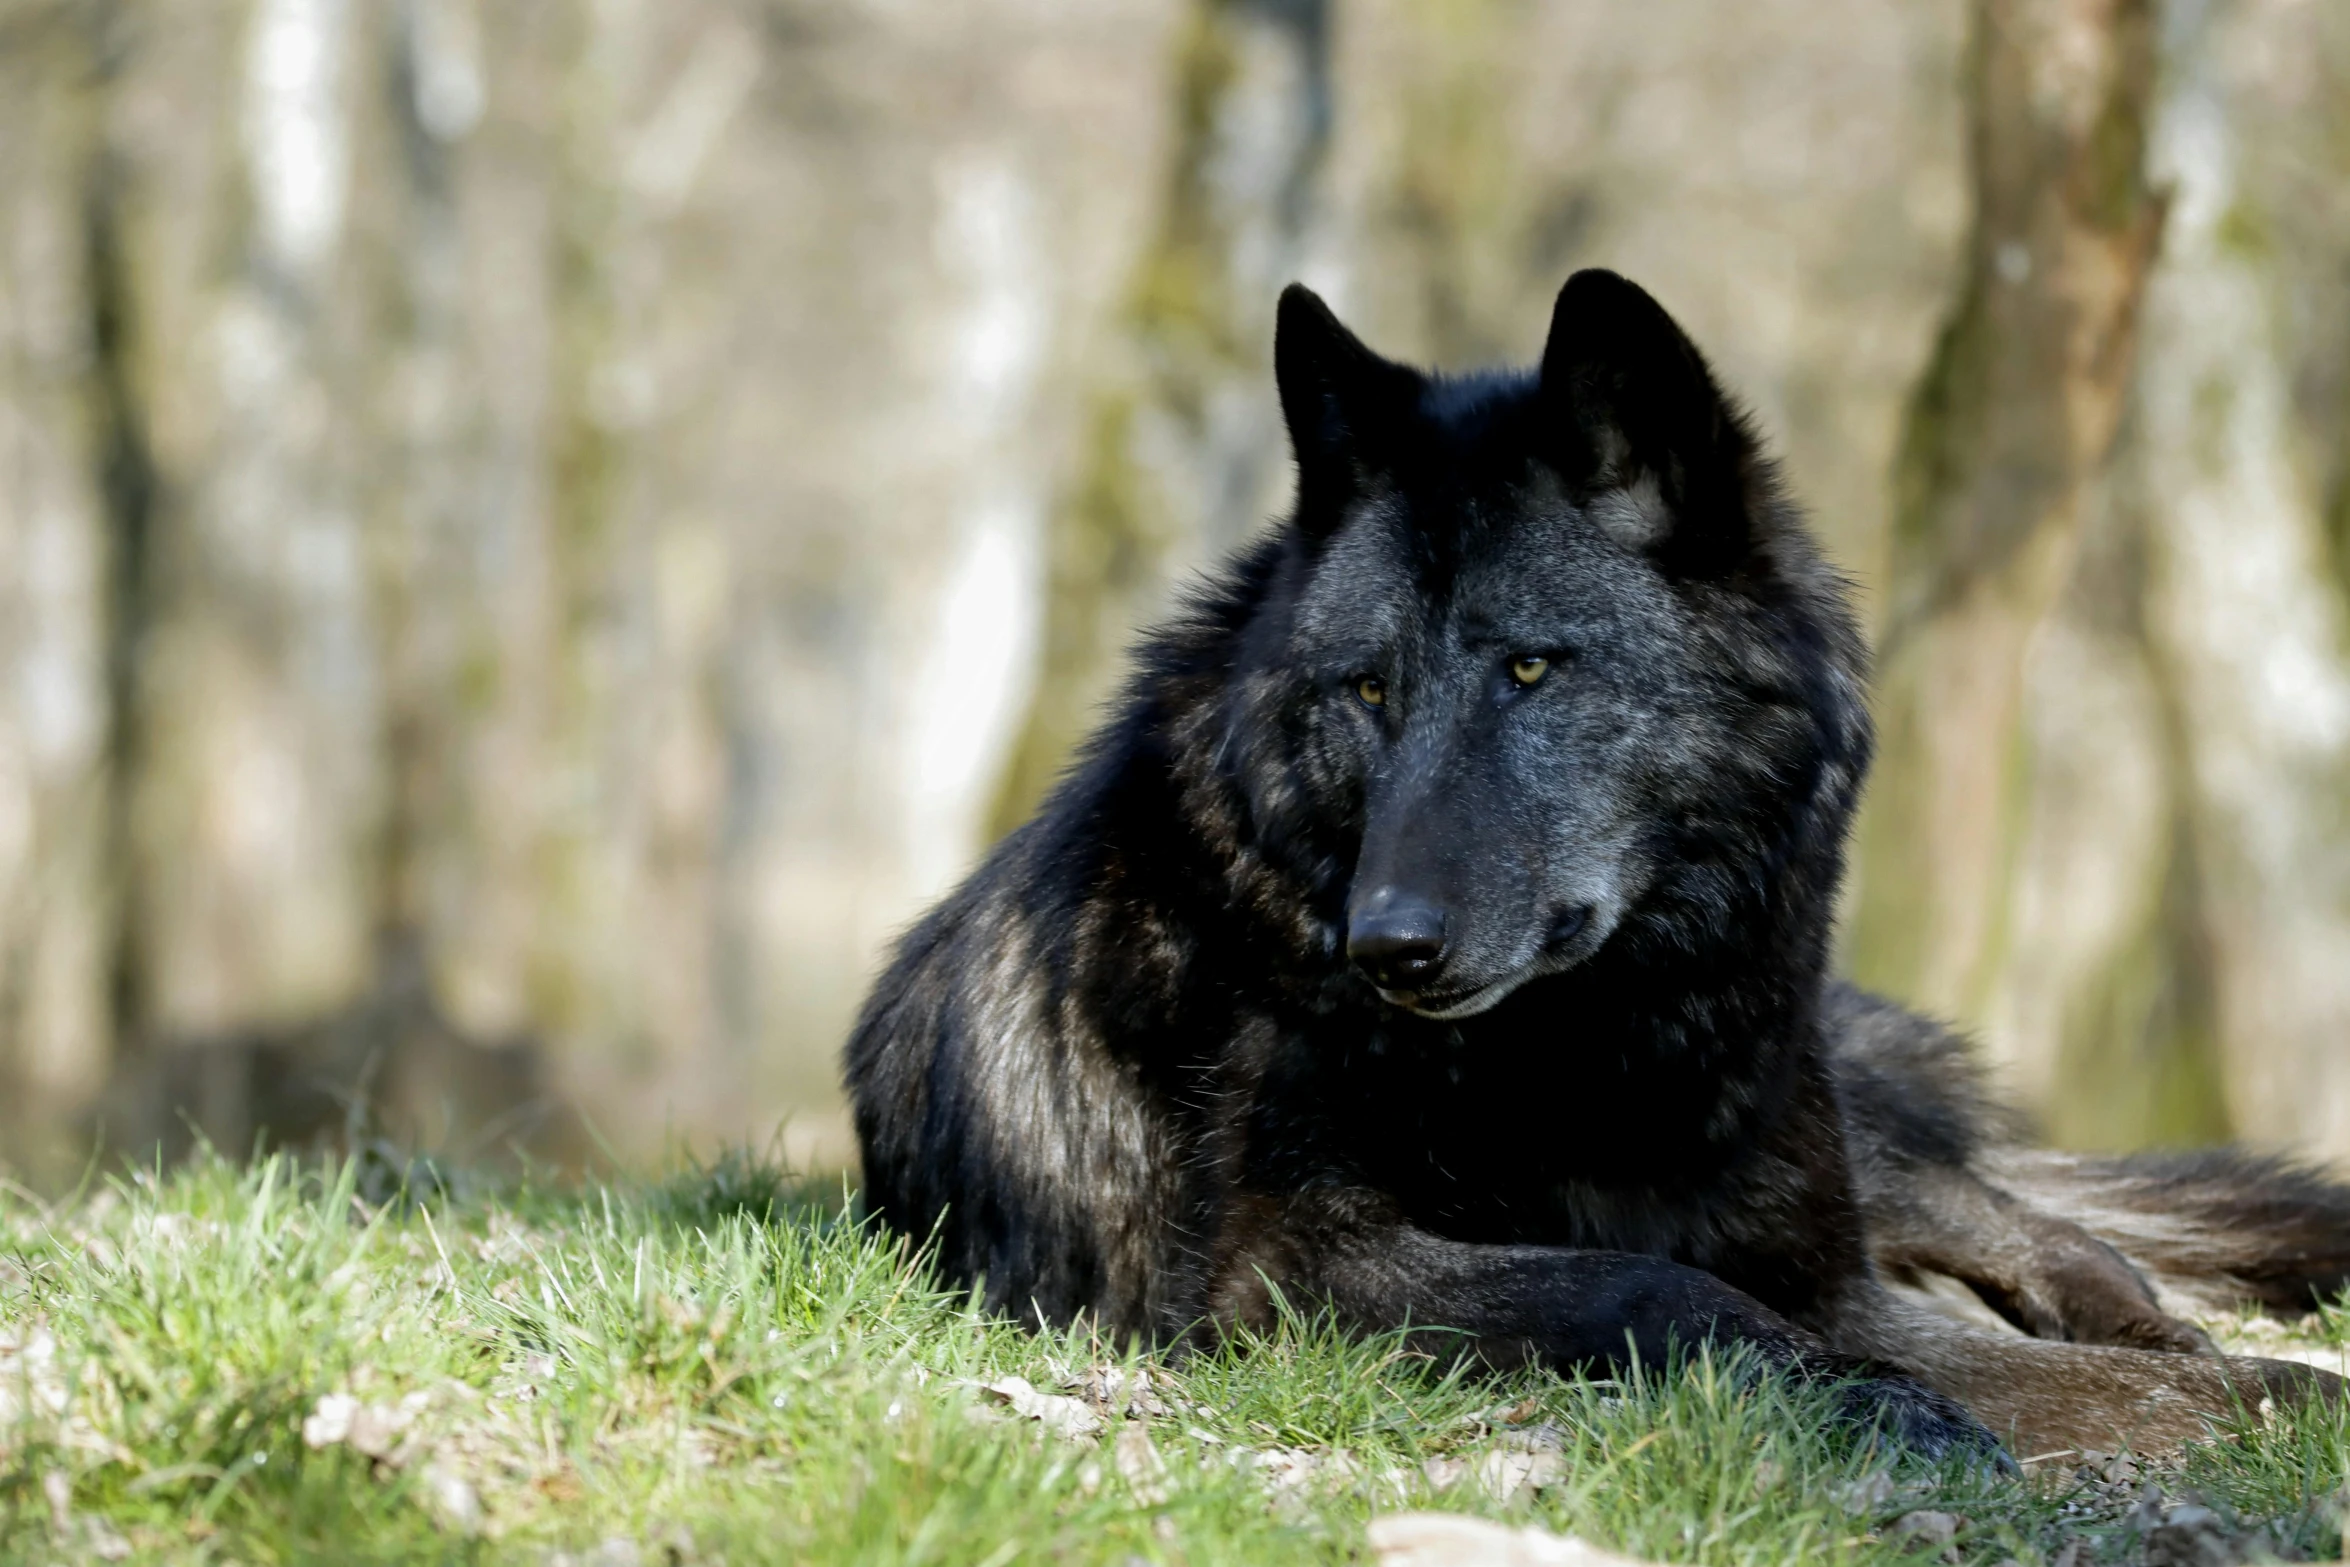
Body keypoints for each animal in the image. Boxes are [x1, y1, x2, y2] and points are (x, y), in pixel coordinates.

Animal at [850, 270, 2350, 1456]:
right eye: (1368, 689)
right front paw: (1873, 1406)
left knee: (2047, 1224)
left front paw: (2259, 1397)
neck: (1586, 1049)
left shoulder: (1829, 1273)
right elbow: (1645, 1283)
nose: (1384, 944)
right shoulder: (1275, 1271)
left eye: (1528, 667)